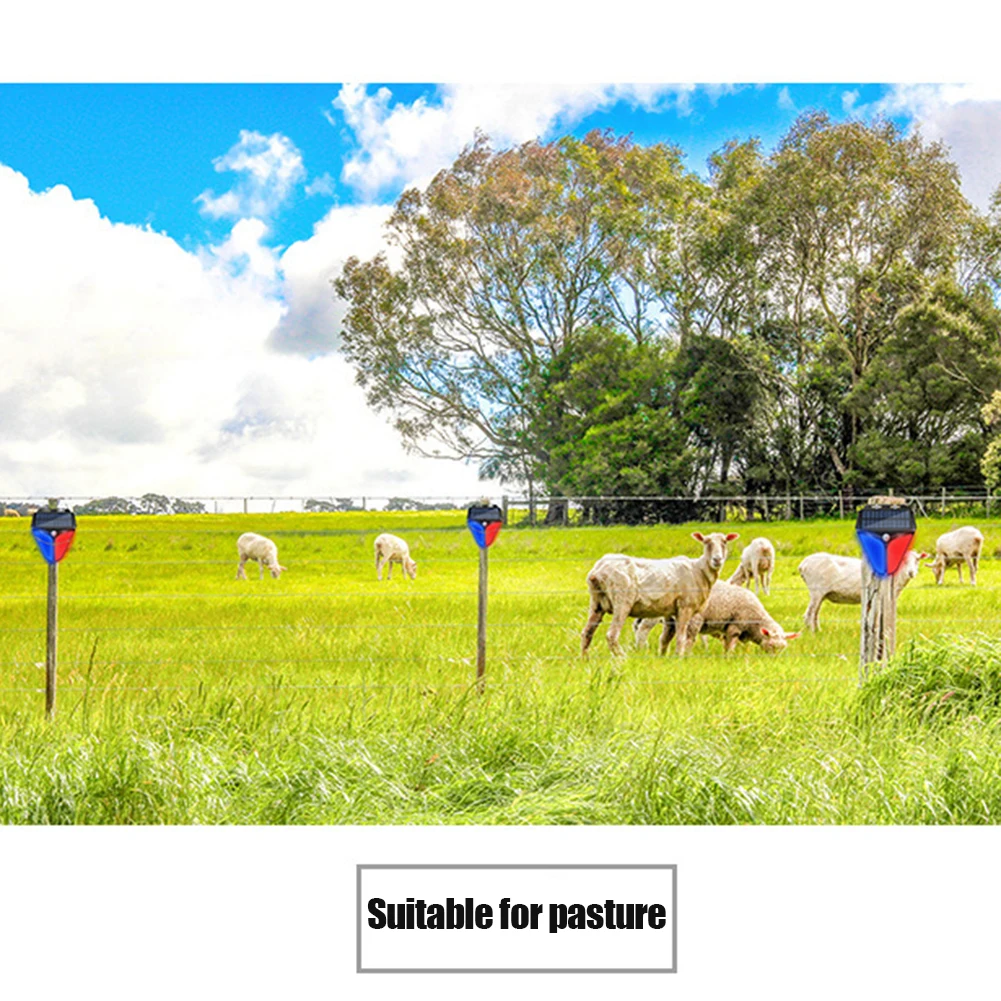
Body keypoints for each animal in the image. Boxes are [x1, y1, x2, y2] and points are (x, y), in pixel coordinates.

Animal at [584, 528, 740, 660]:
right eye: (706, 542)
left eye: (725, 542)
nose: (717, 559)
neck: (699, 570)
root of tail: (598, 570)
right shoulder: (685, 607)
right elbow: (681, 637)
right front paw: (679, 658)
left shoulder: (671, 612)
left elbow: (667, 637)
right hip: (622, 601)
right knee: (612, 635)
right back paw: (623, 658)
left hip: (596, 603)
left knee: (587, 632)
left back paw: (584, 659)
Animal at [632, 584, 804, 652]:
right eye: (771, 646)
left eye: (782, 648)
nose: (774, 659)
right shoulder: (735, 626)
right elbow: (730, 645)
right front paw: (728, 658)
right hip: (692, 618)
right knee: (687, 639)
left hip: (670, 619)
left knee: (664, 638)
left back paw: (662, 654)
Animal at [796, 548, 928, 632]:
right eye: (903, 561)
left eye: (917, 560)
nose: (911, 573)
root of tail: (803, 565)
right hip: (816, 590)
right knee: (809, 614)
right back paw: (812, 633)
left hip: (820, 594)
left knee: (815, 613)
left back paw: (818, 630)